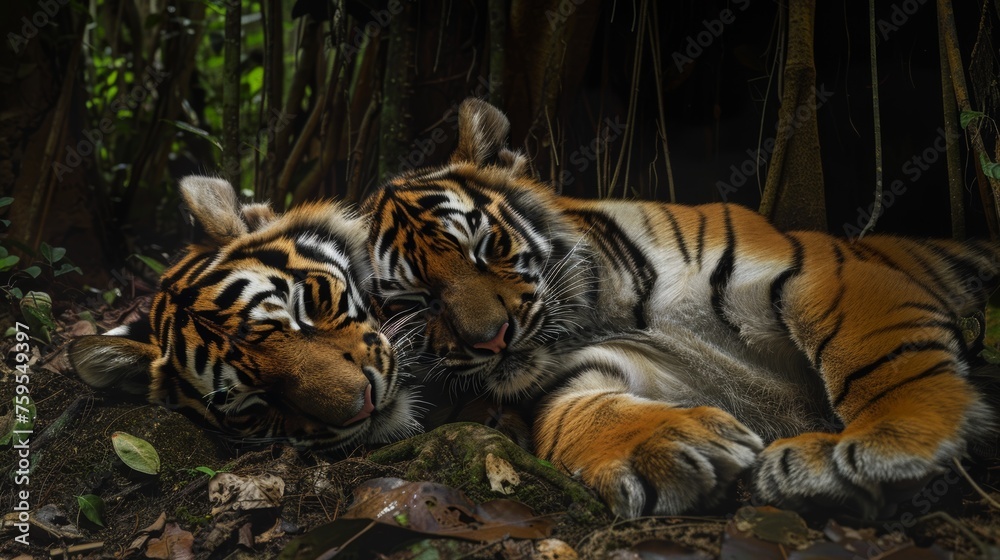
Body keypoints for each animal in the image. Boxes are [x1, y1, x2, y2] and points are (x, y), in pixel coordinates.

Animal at [364, 97, 1000, 519]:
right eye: (418, 301)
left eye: (485, 248)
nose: (491, 339)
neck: (614, 311)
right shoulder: (587, 372)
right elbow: (578, 415)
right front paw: (669, 446)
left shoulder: (816, 270)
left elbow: (875, 359)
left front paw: (887, 442)